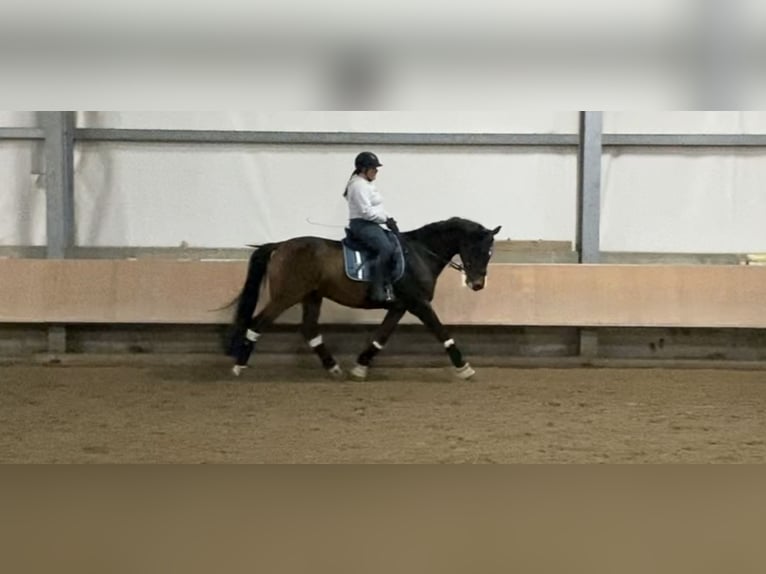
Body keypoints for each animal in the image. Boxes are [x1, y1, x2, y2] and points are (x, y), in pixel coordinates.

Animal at [228, 217, 501, 379]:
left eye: (489, 253)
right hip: (287, 295)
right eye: (476, 250)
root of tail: (280, 245)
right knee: (257, 323)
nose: (477, 284)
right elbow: (441, 332)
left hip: (312, 296)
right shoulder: (419, 304)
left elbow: (381, 337)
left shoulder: (400, 306)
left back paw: (333, 367)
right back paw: (239, 366)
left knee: (309, 329)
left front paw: (360, 365)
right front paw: (464, 367)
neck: (419, 253)